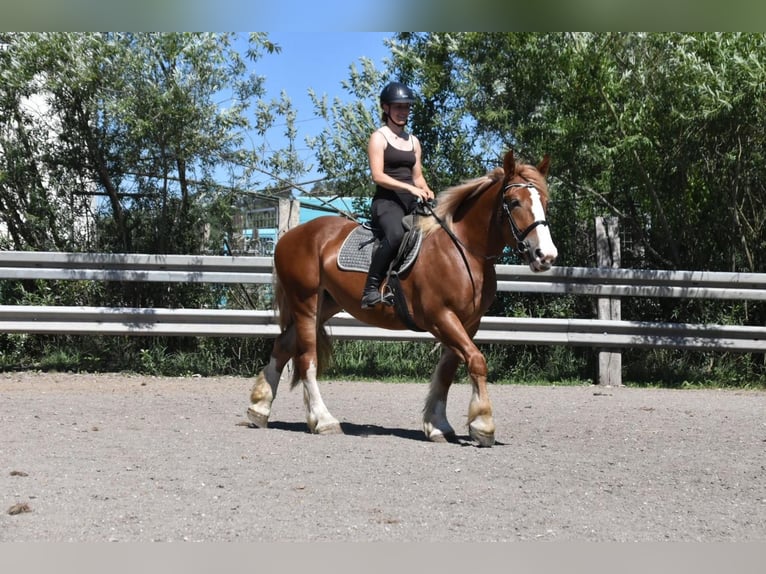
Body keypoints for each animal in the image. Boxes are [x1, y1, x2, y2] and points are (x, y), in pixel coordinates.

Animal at [247, 150, 557, 447]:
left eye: (544, 201)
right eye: (514, 202)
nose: (546, 256)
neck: (462, 251)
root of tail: (290, 237)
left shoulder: (468, 323)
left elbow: (448, 371)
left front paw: (438, 426)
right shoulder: (441, 317)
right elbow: (476, 361)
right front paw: (483, 425)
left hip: (325, 304)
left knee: (283, 344)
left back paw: (259, 409)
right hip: (306, 302)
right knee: (306, 358)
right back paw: (323, 420)